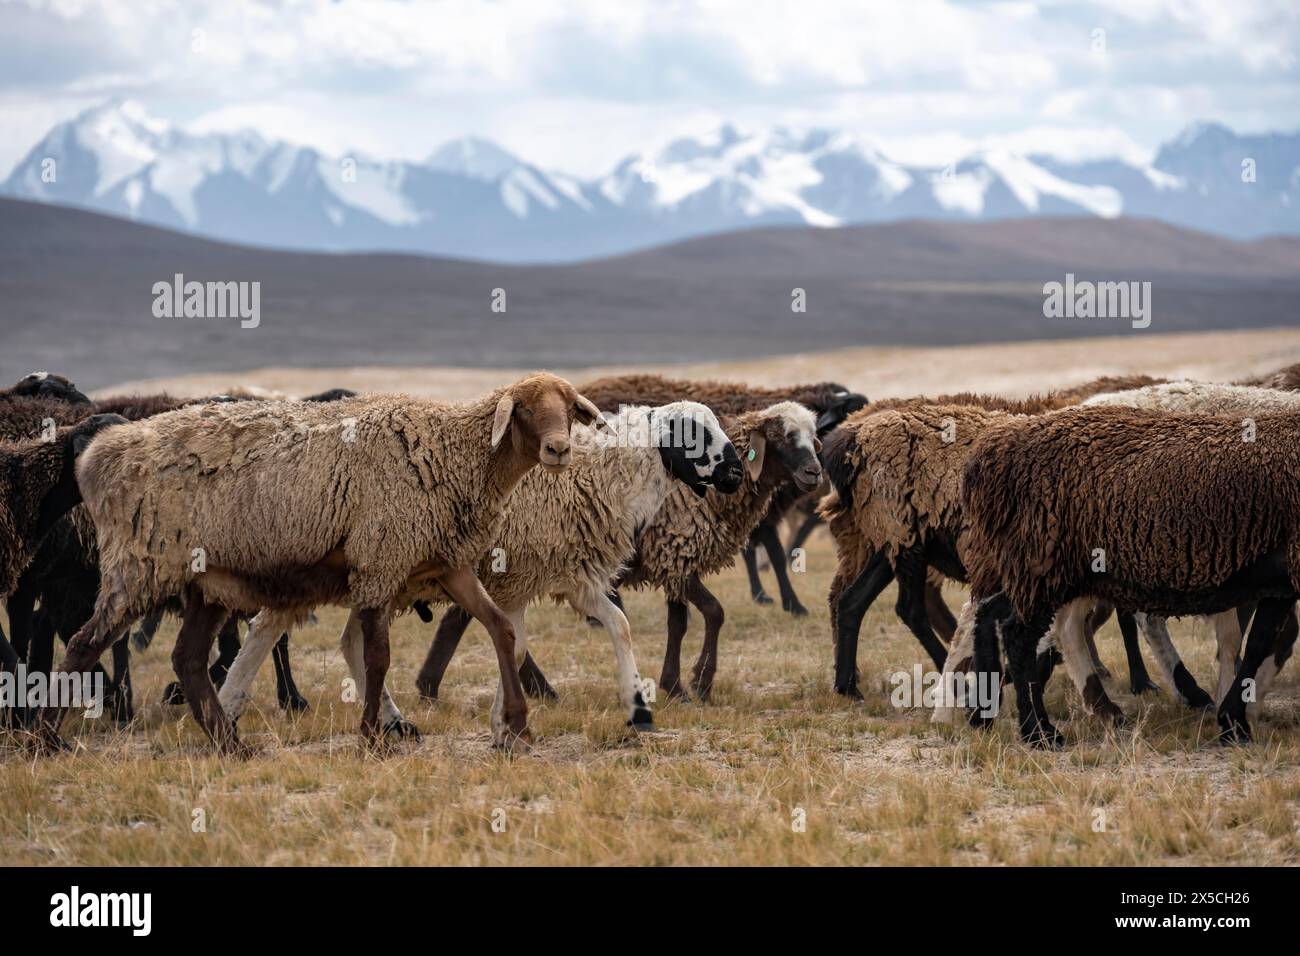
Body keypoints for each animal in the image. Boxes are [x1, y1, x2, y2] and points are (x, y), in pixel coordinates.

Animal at [29, 374, 598, 754]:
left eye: (569, 408)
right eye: (524, 409)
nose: (558, 450)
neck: (451, 450)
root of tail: (102, 455)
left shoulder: (445, 562)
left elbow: (502, 629)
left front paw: (518, 725)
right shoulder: (379, 561)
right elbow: (377, 658)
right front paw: (372, 735)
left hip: (206, 580)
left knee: (186, 659)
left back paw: (230, 744)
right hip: (140, 566)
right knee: (84, 643)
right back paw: (45, 739)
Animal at [223, 395, 743, 733]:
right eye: (692, 434)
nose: (737, 473)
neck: (593, 475)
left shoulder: (569, 574)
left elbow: (619, 626)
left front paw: (638, 711)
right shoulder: (515, 576)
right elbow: (515, 643)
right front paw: (507, 719)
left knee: (340, 640)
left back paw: (387, 719)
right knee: (269, 627)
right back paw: (233, 702)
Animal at [961, 403, 1300, 749]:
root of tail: (991, 454)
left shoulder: (1280, 584)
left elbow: (1259, 644)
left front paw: (1233, 722)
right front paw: (1234, 721)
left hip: (1049, 571)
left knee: (992, 612)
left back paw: (985, 714)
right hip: (1040, 561)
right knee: (1019, 636)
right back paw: (1039, 731)